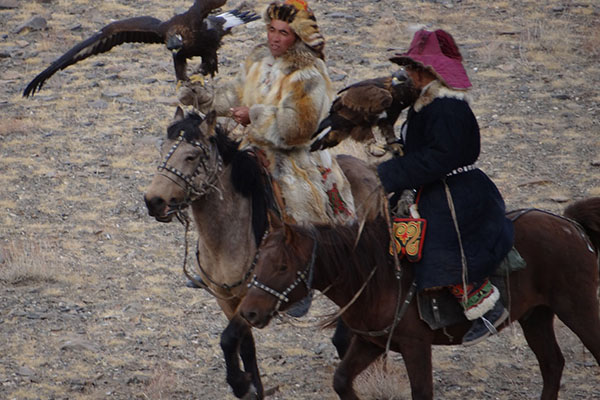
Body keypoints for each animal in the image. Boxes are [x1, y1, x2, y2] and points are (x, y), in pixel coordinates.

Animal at [143, 108, 382, 398]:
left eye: (191, 156)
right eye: (162, 149)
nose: (154, 201)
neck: (230, 234)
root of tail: (371, 172)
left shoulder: (252, 294)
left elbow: (228, 339)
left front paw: (240, 384)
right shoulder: (226, 298)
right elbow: (246, 345)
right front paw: (254, 387)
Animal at [238, 198, 600, 398]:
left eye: (282, 266)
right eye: (258, 260)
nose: (248, 313)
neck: (378, 278)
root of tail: (571, 226)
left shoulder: (416, 346)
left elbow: (422, 391)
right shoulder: (370, 342)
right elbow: (341, 381)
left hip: (578, 307)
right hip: (536, 315)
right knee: (552, 364)